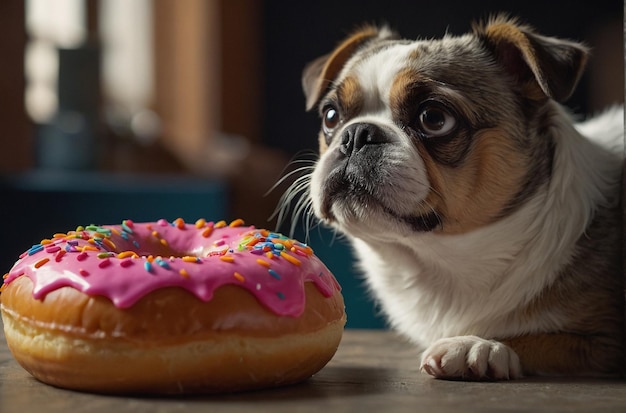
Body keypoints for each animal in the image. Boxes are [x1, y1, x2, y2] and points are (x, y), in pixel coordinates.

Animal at [298, 16, 624, 380]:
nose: (356, 134)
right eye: (330, 116)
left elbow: (537, 337)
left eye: (434, 118)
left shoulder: (606, 343)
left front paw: (478, 345)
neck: (442, 261)